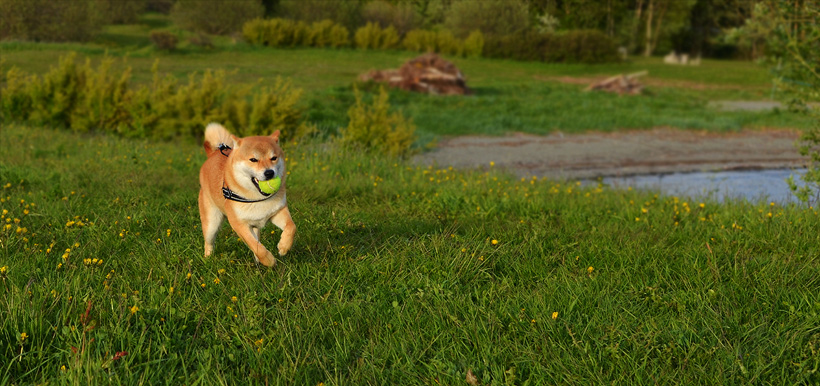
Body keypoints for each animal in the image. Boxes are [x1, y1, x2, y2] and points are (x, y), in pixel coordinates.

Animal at [199, 122, 294, 266]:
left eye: (273, 158)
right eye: (253, 159)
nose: (269, 173)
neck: (256, 198)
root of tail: (213, 153)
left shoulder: (278, 211)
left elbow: (291, 227)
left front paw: (284, 247)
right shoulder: (238, 224)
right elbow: (256, 247)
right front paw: (269, 261)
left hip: (254, 225)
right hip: (211, 223)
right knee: (209, 242)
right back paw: (208, 259)